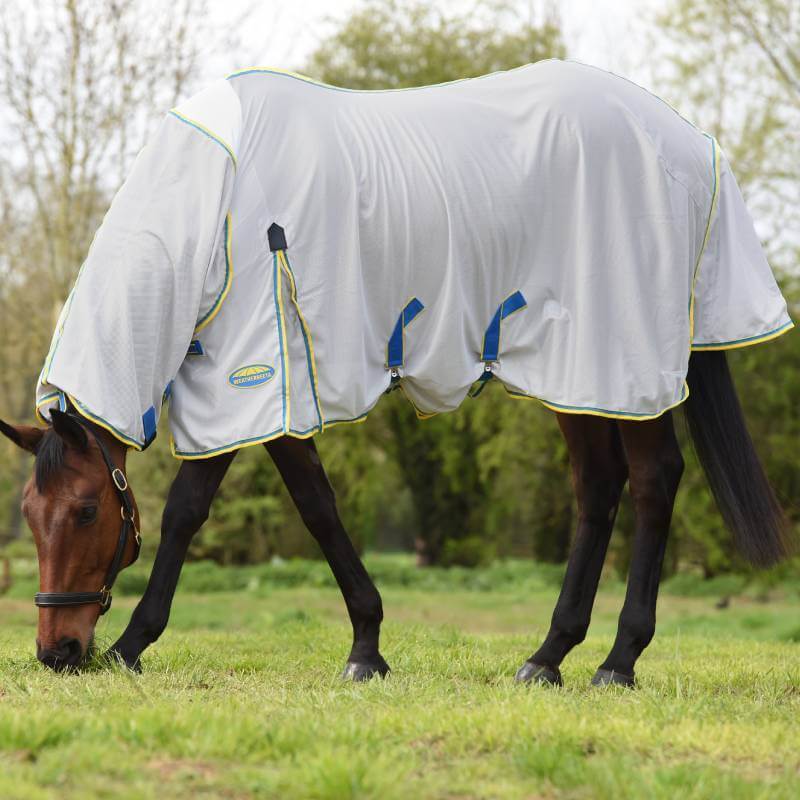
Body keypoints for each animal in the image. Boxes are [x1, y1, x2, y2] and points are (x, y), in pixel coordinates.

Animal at [0, 60, 792, 682]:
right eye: (30, 514)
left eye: (87, 509)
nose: (57, 652)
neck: (215, 208)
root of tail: (689, 142)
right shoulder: (256, 387)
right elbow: (283, 506)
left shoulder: (260, 378)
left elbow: (226, 511)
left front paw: (135, 646)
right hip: (578, 378)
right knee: (598, 489)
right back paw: (547, 657)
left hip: (622, 362)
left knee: (655, 481)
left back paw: (618, 662)